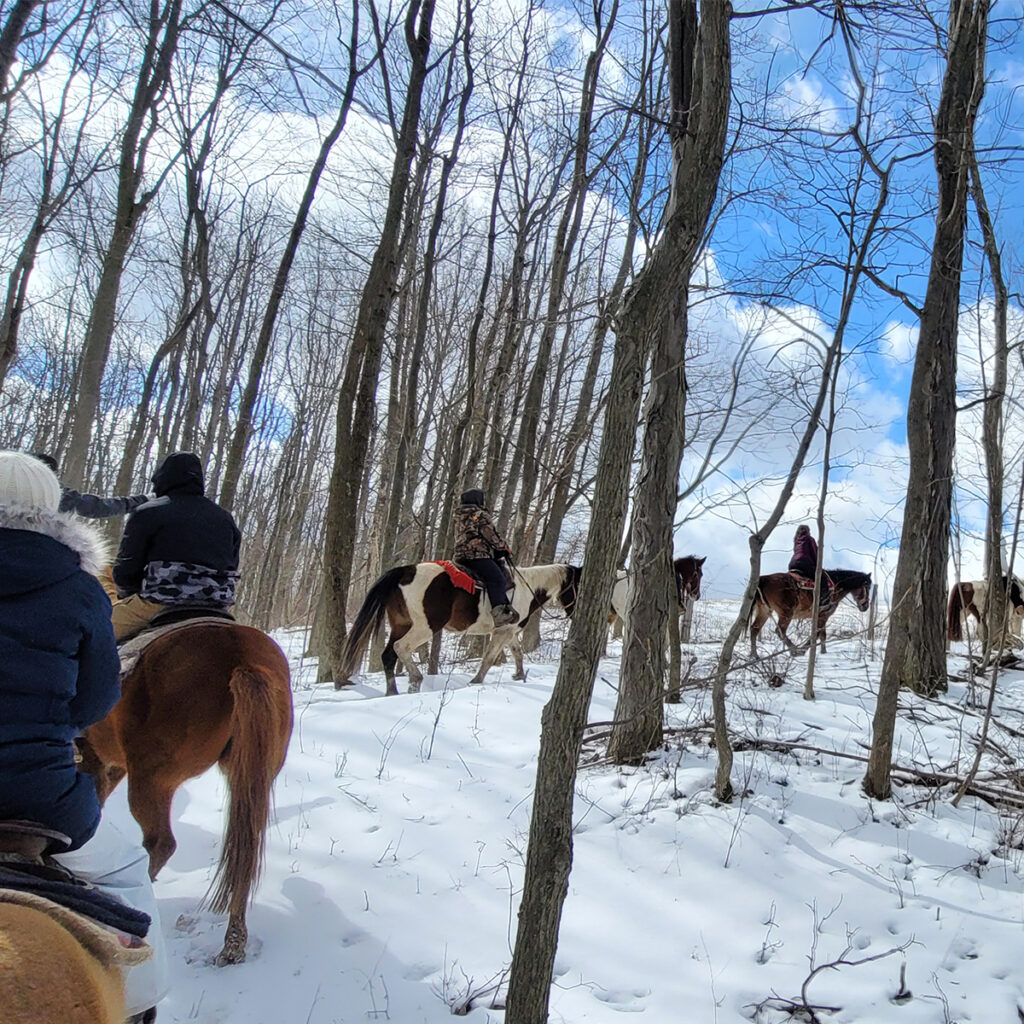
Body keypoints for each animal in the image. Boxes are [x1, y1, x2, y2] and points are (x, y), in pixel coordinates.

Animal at [77, 622, 294, 966]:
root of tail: (241, 657)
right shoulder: (109, 765)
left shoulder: (94, 759)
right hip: (249, 775)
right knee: (245, 847)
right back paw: (233, 945)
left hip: (151, 780)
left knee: (161, 844)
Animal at [335, 561, 577, 696]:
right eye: (578, 584)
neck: (528, 587)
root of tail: (405, 571)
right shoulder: (503, 631)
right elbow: (490, 657)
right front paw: (476, 681)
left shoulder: (507, 632)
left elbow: (516, 652)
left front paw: (519, 675)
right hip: (424, 627)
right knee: (400, 648)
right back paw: (415, 680)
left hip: (400, 624)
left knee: (388, 655)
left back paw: (393, 691)